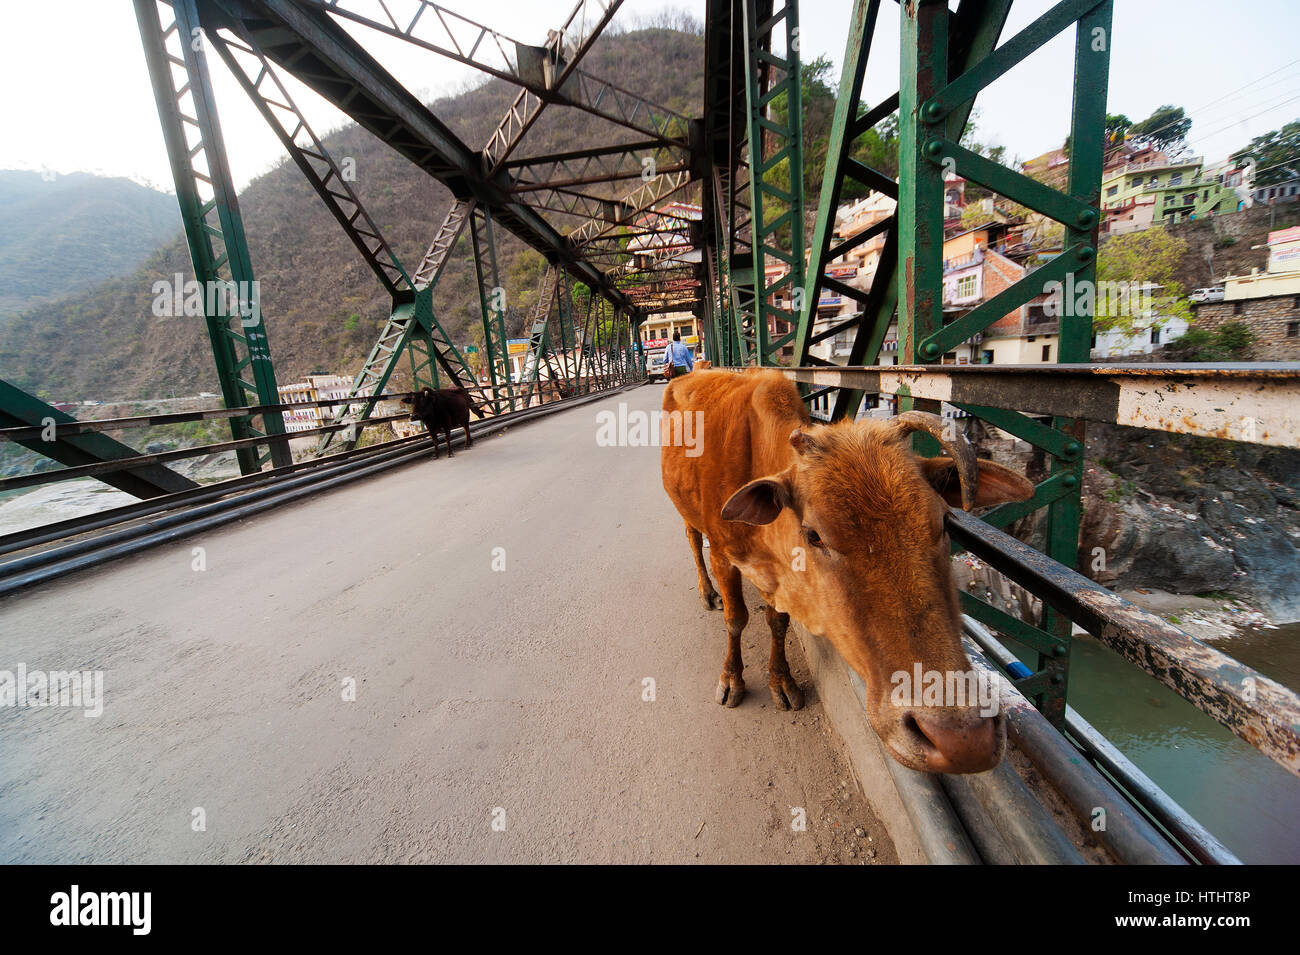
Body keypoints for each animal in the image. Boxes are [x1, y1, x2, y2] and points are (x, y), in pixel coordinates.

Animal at [665, 369, 1029, 774]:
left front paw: (782, 680)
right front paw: (732, 677)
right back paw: (707, 592)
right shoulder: (724, 556)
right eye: (814, 535)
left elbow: (778, 622)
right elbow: (735, 620)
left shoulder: (782, 579)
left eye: (945, 522)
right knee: (692, 540)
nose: (962, 738)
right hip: (687, 515)